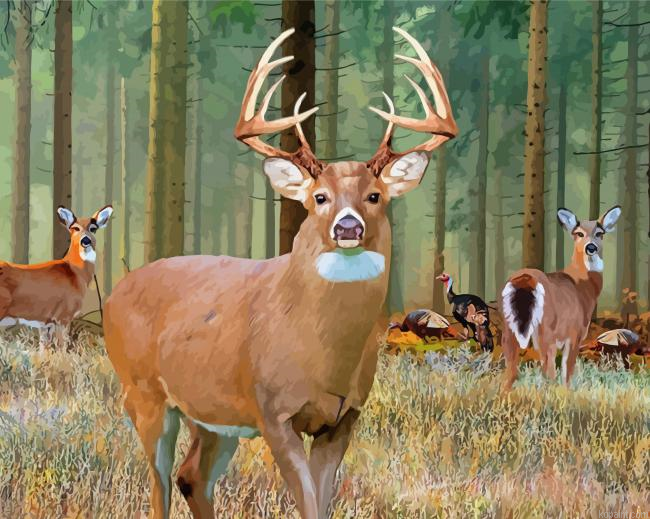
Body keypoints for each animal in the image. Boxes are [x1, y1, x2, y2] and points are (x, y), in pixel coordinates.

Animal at [0, 205, 113, 348]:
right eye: (75, 228)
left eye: (93, 228)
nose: (85, 240)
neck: (76, 273)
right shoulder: (64, 315)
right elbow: (62, 348)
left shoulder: (46, 321)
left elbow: (44, 348)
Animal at [102, 27, 456, 519]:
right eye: (320, 197)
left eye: (375, 196)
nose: (348, 227)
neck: (324, 352)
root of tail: (116, 293)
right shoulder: (273, 411)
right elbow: (305, 502)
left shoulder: (343, 417)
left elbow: (322, 502)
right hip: (142, 391)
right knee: (157, 485)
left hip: (213, 416)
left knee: (191, 476)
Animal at [499, 205, 621, 391]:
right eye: (579, 233)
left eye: (600, 233)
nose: (591, 247)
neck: (581, 284)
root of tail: (526, 278)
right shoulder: (576, 332)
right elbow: (567, 370)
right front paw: (567, 392)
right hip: (546, 328)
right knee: (547, 371)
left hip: (509, 327)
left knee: (511, 370)